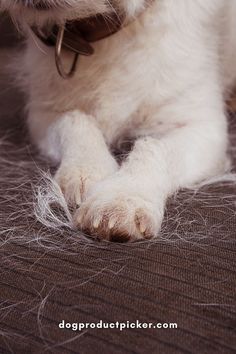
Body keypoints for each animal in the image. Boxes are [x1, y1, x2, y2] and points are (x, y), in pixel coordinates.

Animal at [0, 0, 235, 241]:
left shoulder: (203, 127)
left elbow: (156, 148)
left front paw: (123, 197)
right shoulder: (44, 115)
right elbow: (75, 121)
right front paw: (86, 170)